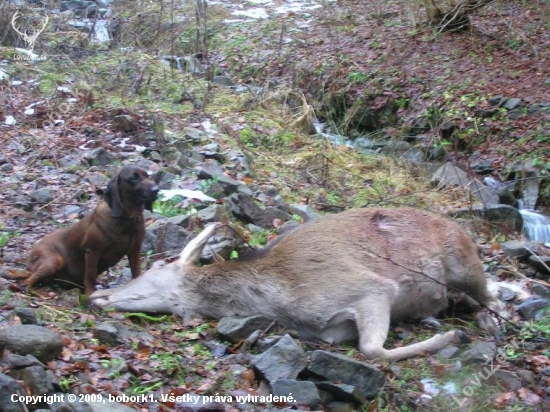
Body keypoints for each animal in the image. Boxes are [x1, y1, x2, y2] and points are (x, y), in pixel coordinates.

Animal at [17, 166, 158, 294]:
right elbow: (90, 275)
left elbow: (136, 272)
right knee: (28, 279)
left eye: (147, 176)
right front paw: (90, 293)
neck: (127, 219)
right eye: (133, 178)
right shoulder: (92, 251)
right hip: (53, 261)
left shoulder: (134, 250)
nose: (156, 190)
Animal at [90, 208, 504, 358]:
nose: (97, 294)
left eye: (149, 271)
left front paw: (452, 338)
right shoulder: (331, 331)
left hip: (464, 264)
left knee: (494, 296)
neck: (281, 299)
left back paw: (483, 323)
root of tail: (466, 232)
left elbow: (371, 350)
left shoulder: (371, 287)